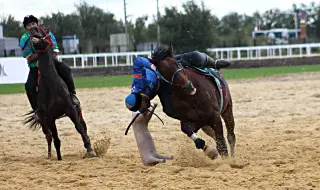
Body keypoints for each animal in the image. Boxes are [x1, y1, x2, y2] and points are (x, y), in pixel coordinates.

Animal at [23, 26, 96, 160]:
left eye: (42, 30)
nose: (33, 29)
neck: (52, 86)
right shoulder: (49, 117)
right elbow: (55, 138)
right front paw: (58, 157)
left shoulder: (70, 109)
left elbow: (79, 128)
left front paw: (90, 150)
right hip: (44, 120)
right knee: (49, 135)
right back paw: (50, 155)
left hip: (77, 111)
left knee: (83, 127)